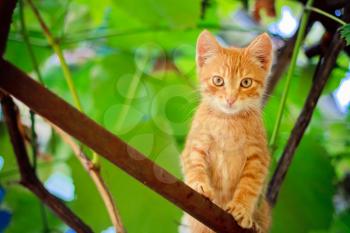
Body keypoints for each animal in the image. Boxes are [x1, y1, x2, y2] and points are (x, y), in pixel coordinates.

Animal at [180, 30, 274, 233]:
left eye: (246, 82)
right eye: (218, 80)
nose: (230, 99)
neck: (228, 121)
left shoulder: (258, 157)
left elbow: (249, 185)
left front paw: (241, 208)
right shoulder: (196, 143)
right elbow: (194, 164)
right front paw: (199, 184)